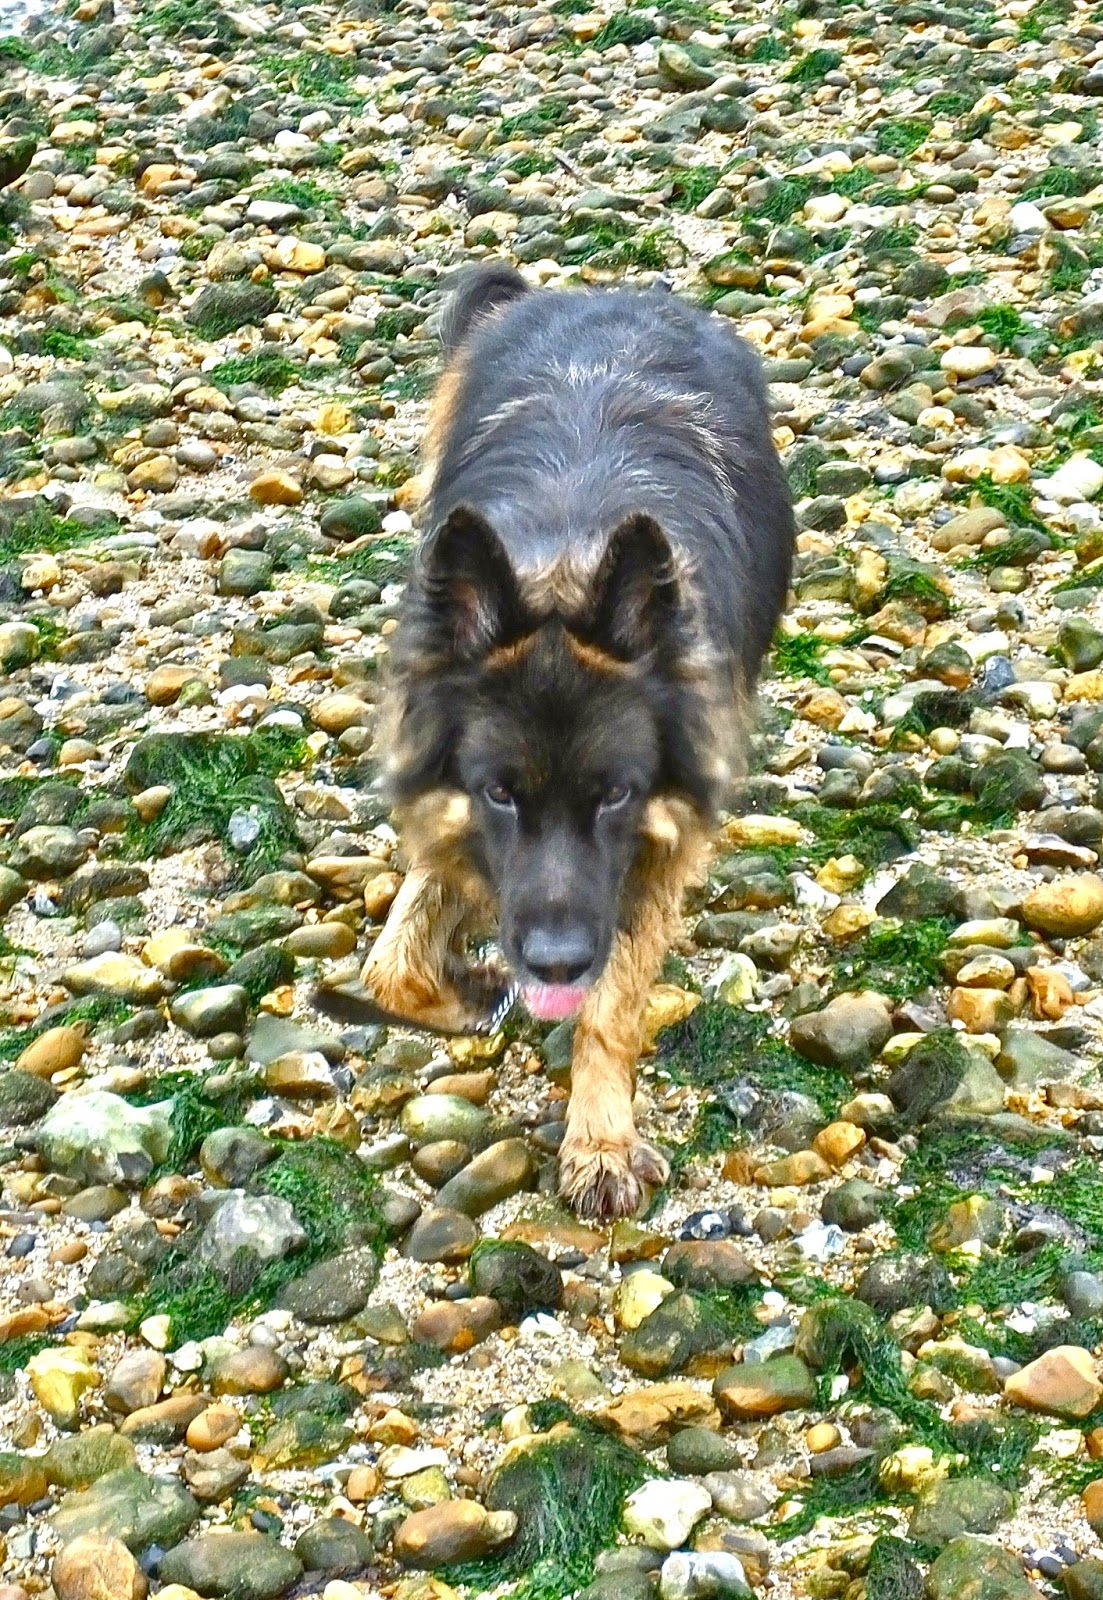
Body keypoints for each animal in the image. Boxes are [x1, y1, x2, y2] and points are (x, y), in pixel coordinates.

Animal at [360, 262, 794, 1220]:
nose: (553, 961)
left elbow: (610, 1007)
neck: (565, 559)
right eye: (498, 791)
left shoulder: (654, 852)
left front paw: (598, 1142)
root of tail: (609, 292)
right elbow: (390, 970)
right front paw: (469, 988)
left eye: (615, 794)